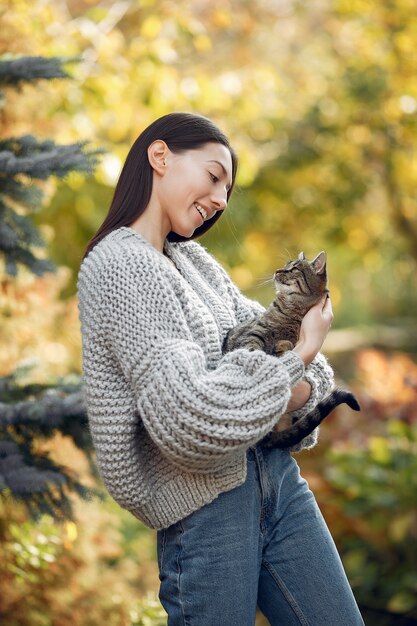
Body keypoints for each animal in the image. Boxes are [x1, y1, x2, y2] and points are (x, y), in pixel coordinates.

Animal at [223, 251, 360, 446]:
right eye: (285, 265)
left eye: (294, 268)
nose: (277, 270)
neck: (294, 309)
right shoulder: (254, 333)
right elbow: (252, 349)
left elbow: (286, 346)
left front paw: (282, 346)